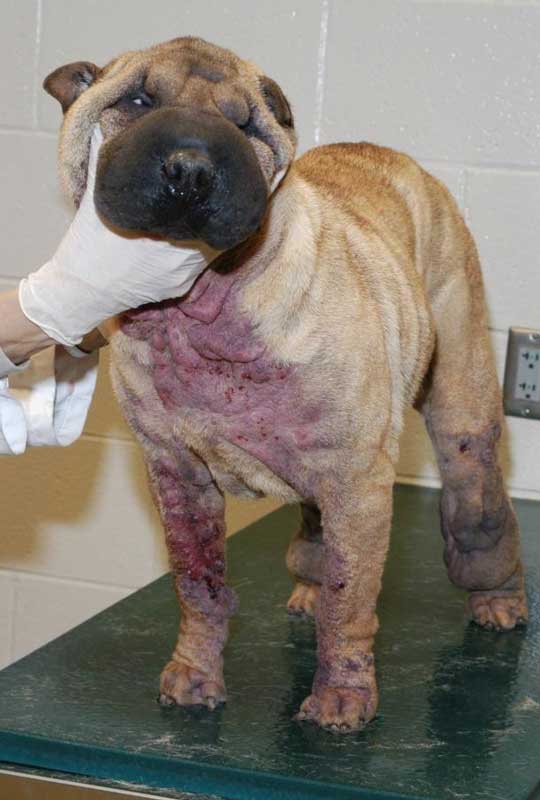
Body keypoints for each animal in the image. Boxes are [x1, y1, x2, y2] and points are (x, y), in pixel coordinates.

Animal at [44, 39, 524, 736]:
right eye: (136, 100)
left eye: (246, 125)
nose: (190, 168)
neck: (204, 305)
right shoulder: (177, 475)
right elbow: (198, 585)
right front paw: (195, 674)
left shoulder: (357, 478)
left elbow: (352, 601)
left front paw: (341, 699)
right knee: (316, 540)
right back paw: (307, 588)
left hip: (464, 417)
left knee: (480, 518)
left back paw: (499, 601)